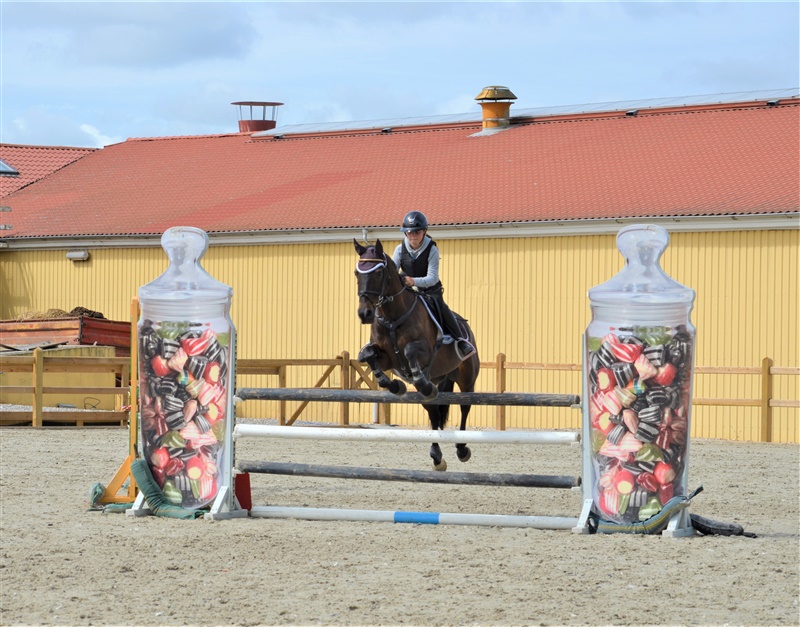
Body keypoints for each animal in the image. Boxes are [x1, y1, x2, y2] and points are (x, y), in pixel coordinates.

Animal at [353, 238, 480, 471]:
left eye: (378, 273)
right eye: (357, 273)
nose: (364, 314)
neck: (392, 316)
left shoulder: (423, 352)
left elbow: (410, 350)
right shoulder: (387, 358)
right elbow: (368, 354)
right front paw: (396, 386)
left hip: (467, 377)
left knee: (465, 406)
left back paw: (461, 448)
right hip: (439, 379)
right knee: (433, 412)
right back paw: (437, 456)